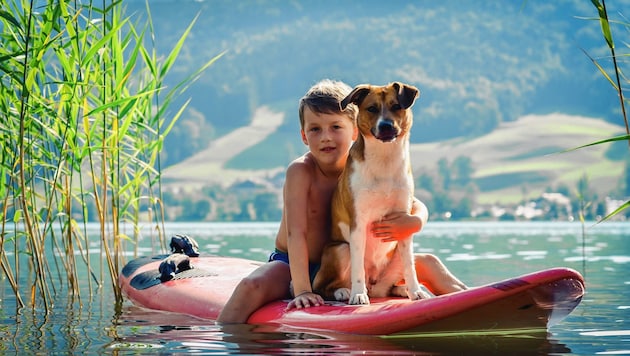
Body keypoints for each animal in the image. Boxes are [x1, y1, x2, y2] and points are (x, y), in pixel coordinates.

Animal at [314, 82, 432, 304]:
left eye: (396, 106)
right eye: (372, 108)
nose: (386, 126)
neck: (384, 159)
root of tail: (374, 284)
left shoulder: (403, 221)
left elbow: (410, 267)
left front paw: (415, 291)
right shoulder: (358, 222)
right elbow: (357, 267)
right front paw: (358, 294)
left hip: (394, 257)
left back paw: (402, 290)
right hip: (341, 249)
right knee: (323, 286)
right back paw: (344, 291)